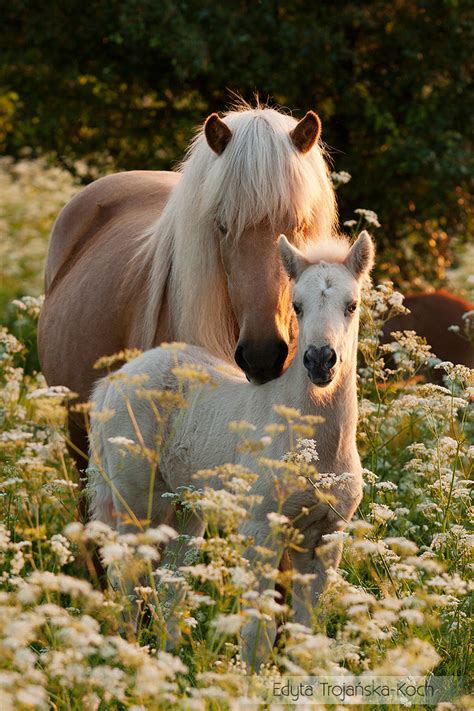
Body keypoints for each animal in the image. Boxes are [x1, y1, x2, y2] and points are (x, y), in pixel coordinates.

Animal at [89, 231, 374, 672]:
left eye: (352, 304)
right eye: (297, 305)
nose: (320, 360)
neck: (317, 451)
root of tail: (114, 381)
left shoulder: (326, 535)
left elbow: (308, 629)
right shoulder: (260, 528)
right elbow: (259, 630)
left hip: (186, 510)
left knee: (171, 588)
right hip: (136, 502)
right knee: (127, 582)